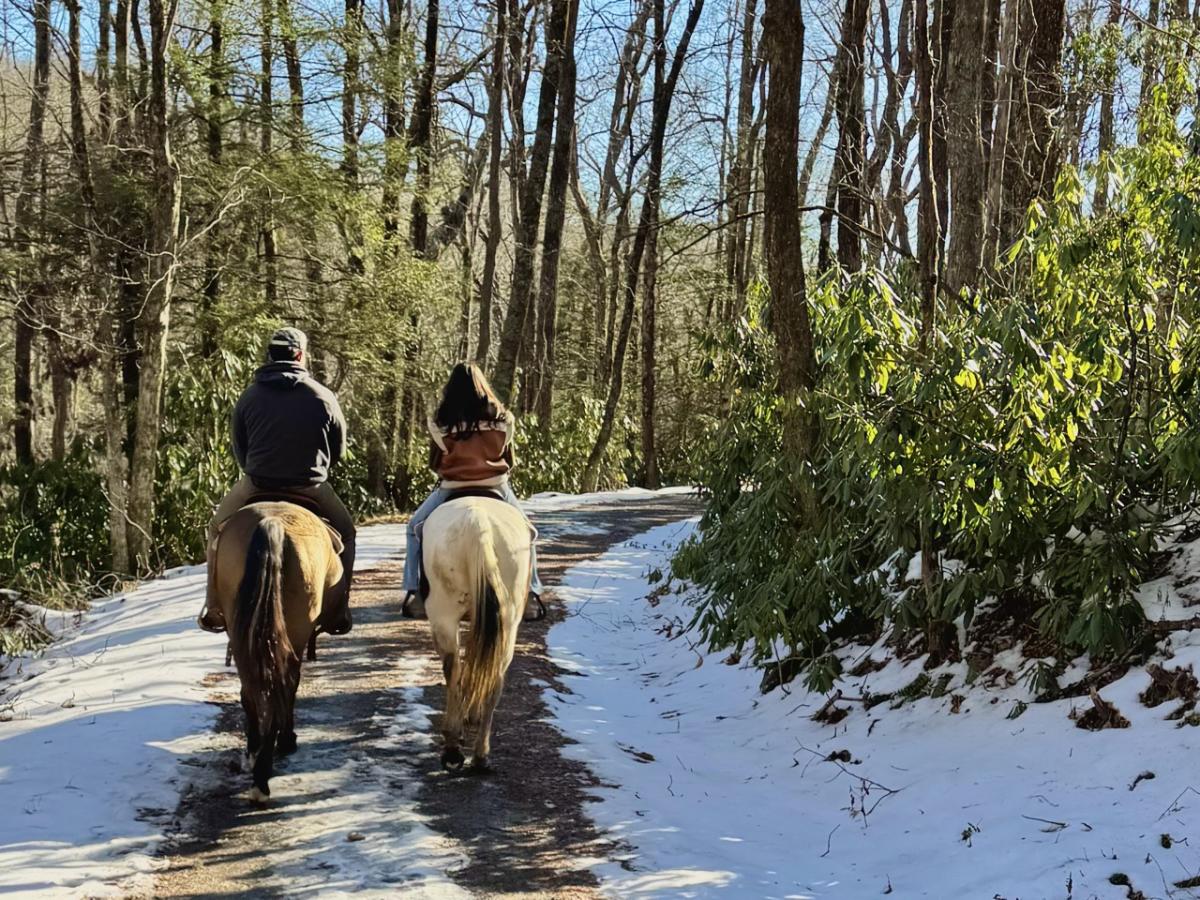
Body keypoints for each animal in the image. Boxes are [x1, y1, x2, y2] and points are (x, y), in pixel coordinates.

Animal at [211, 501, 344, 801]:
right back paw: (268, 767)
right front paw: (286, 740)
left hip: (242, 631)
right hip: (296, 628)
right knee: (283, 682)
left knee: (252, 687)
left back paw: (255, 758)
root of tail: (272, 523)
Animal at [421, 496, 534, 772]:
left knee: (454, 669)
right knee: (493, 675)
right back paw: (479, 754)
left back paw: (455, 747)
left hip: (444, 615)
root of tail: (477, 524)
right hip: (506, 623)